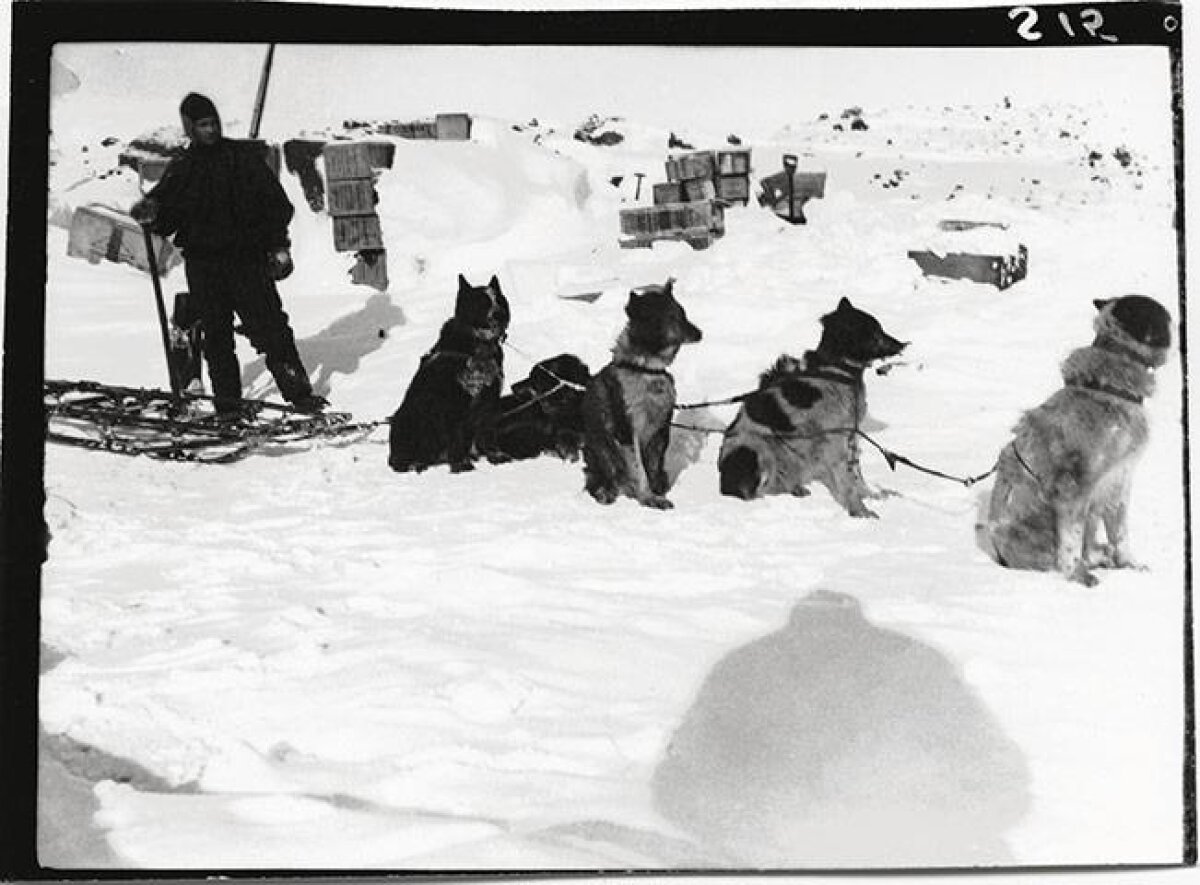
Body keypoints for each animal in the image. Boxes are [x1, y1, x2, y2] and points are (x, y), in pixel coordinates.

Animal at [388, 272, 511, 472]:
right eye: (482, 302)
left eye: (499, 300)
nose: (499, 314)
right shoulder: (452, 405)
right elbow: (457, 437)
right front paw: (461, 464)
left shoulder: (489, 401)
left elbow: (488, 432)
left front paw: (496, 456)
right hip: (408, 418)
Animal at [580, 279, 700, 506]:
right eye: (672, 317)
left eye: (683, 313)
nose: (699, 333)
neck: (646, 370)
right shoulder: (626, 430)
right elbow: (639, 469)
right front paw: (647, 497)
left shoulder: (661, 429)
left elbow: (652, 468)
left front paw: (655, 494)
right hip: (602, 453)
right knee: (599, 480)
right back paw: (606, 492)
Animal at [715, 298, 902, 518]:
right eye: (876, 332)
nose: (902, 344)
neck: (836, 369)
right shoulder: (835, 441)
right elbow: (848, 483)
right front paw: (860, 511)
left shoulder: (850, 436)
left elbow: (857, 475)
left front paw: (869, 496)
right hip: (758, 448)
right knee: (758, 491)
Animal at [974, 295, 1171, 585]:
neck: (1109, 387)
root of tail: (1000, 555)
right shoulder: (1074, 488)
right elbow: (1071, 543)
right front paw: (1077, 577)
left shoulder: (1119, 480)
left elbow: (1120, 534)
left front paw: (1129, 565)